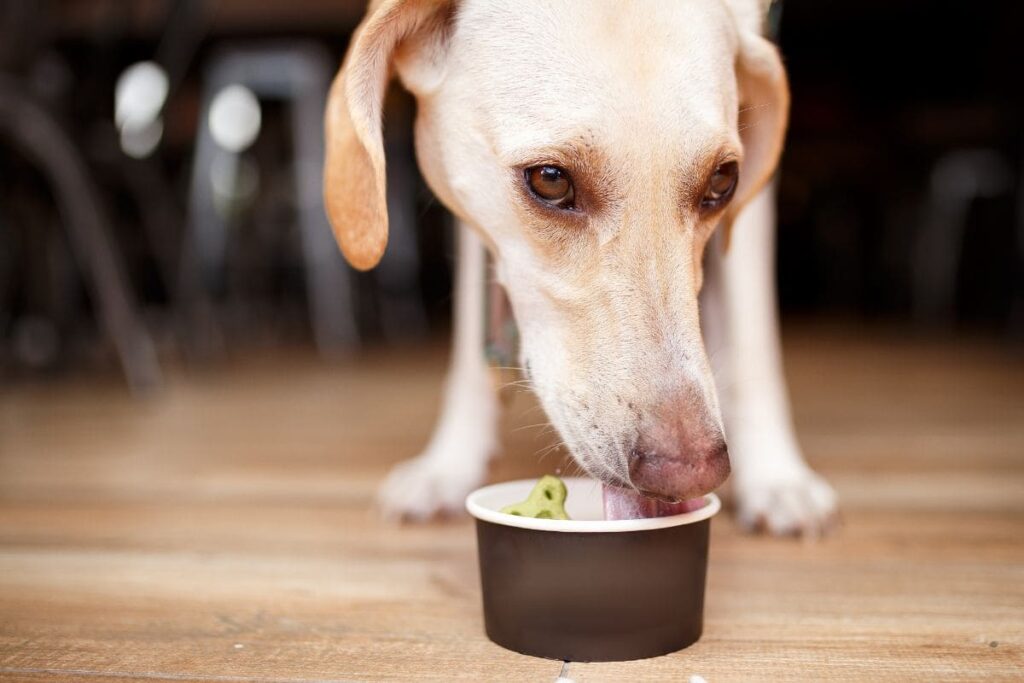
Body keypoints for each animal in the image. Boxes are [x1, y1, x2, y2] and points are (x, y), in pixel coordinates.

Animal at [323, 0, 835, 532]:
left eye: (722, 181)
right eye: (550, 180)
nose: (689, 472)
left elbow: (754, 341)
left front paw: (777, 476)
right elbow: (470, 342)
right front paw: (450, 463)